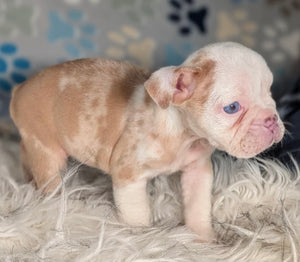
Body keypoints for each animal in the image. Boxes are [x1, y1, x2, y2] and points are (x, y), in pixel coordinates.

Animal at [9, 42, 284, 241]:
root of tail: (20, 88)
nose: (271, 119)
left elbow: (197, 206)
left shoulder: (198, 170)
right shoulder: (128, 177)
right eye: (232, 108)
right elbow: (138, 215)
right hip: (46, 147)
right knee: (50, 177)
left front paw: (204, 239)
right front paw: (141, 240)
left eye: (270, 92)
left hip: (32, 140)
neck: (182, 133)